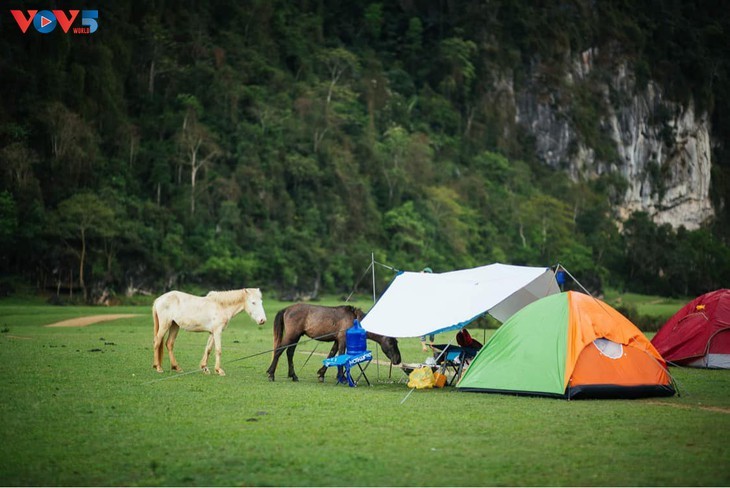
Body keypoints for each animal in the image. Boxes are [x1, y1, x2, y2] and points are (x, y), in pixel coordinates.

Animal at [266, 304, 400, 382]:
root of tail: (287, 309)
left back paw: (293, 375)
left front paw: (321, 374)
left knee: (289, 353)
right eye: (391, 342)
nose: (398, 360)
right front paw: (342, 377)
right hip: (292, 336)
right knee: (278, 351)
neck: (354, 320)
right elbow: (341, 356)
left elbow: (331, 354)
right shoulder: (342, 340)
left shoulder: (337, 341)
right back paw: (271, 374)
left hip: (296, 337)